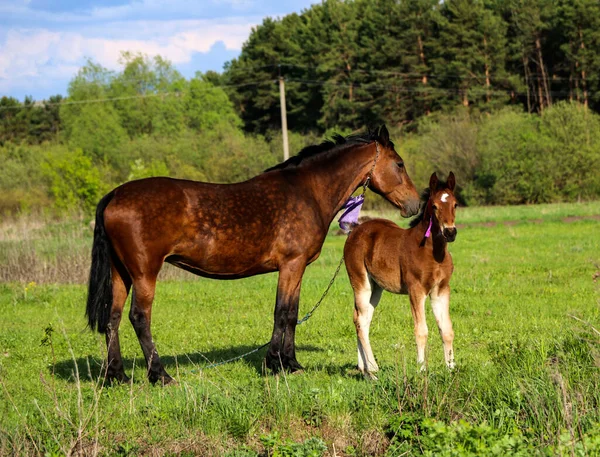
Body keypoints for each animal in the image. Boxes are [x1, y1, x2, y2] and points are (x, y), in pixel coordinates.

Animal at [344, 171, 458, 378]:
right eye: (435, 206)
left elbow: (446, 330)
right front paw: (421, 370)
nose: (450, 232)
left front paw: (451, 369)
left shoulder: (441, 290)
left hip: (376, 288)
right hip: (360, 283)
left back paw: (364, 369)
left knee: (360, 319)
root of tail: (355, 229)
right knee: (361, 321)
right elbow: (421, 330)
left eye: (455, 204)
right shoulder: (416, 290)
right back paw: (373, 369)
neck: (432, 252)